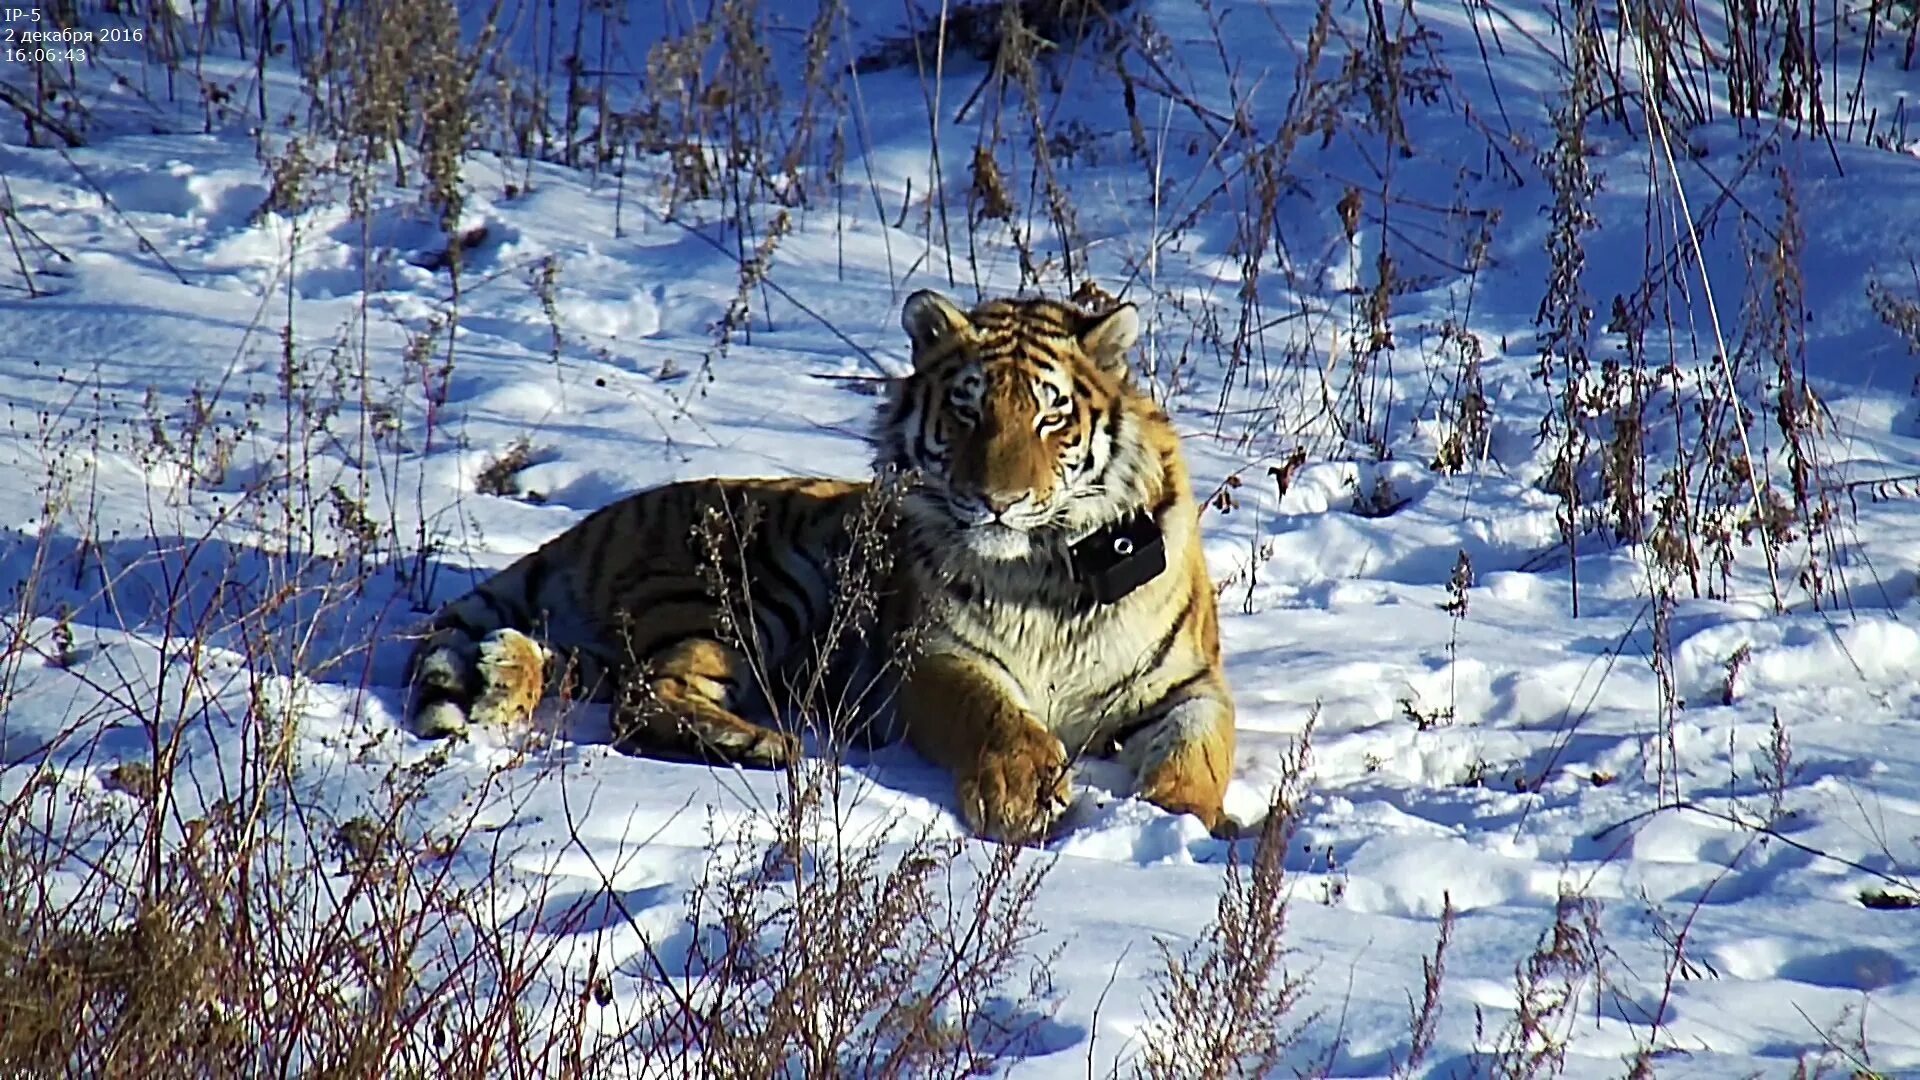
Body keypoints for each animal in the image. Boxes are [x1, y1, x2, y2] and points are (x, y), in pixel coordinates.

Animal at [408, 288, 1244, 841]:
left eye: (1051, 415)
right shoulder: (934, 659)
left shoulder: (1189, 683)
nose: (998, 500)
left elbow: (1201, 747)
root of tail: (602, 519)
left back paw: (504, 674)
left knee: (591, 674)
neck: (1042, 571)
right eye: (968, 410)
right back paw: (758, 744)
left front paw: (1183, 819)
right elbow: (994, 713)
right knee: (646, 696)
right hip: (754, 592)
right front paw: (1024, 792)